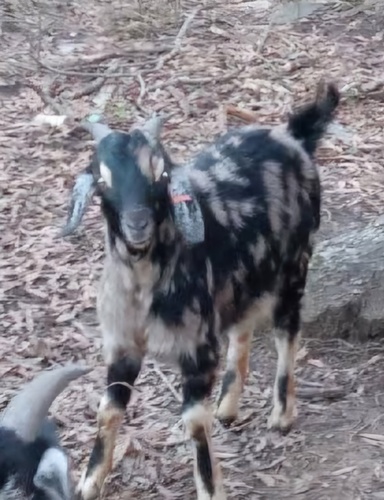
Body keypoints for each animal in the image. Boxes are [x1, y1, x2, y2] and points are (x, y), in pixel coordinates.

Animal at [61, 80, 340, 498]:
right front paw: (89, 482)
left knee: (287, 332)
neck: (145, 288)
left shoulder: (197, 346)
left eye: (160, 171)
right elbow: (107, 410)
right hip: (243, 279)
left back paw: (282, 414)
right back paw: (228, 405)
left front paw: (211, 488)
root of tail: (293, 136)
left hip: (295, 264)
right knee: (243, 326)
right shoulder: (122, 344)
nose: (138, 224)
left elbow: (193, 420)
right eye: (101, 179)